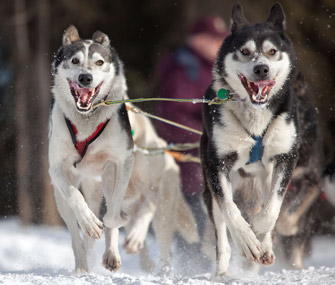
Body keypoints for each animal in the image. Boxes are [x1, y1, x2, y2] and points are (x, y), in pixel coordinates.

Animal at [50, 25, 134, 272]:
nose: (85, 77)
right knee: (75, 234)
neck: (86, 119)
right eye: (75, 60)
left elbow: (113, 213)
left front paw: (118, 218)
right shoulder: (56, 169)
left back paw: (110, 253)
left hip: (105, 177)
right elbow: (74, 195)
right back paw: (82, 266)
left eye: (99, 62)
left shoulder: (124, 160)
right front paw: (89, 223)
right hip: (61, 199)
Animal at [201, 2, 300, 278]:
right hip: (209, 189)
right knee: (222, 234)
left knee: (267, 202)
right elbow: (230, 209)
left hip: (265, 176)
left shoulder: (286, 157)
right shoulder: (217, 164)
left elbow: (273, 205)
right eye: (245, 51)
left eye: (272, 51)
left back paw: (264, 246)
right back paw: (222, 272)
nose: (261, 68)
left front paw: (260, 229)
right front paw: (246, 241)